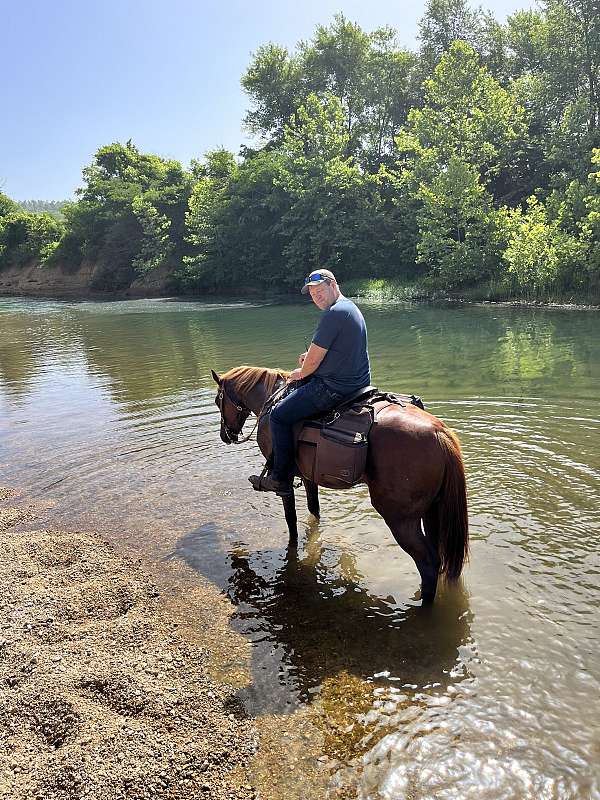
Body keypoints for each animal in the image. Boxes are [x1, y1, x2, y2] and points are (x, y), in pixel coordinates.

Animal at [211, 366, 468, 604]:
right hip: (432, 511)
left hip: (401, 519)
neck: (272, 400)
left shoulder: (285, 480)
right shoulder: (308, 477)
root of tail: (439, 433)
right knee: (438, 556)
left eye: (217, 401)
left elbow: (291, 521)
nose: (226, 435)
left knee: (428, 563)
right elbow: (313, 511)